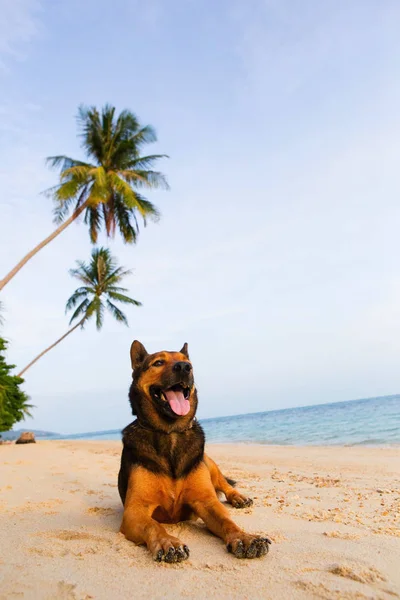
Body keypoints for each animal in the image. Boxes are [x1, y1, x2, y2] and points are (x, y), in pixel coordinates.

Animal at [117, 342, 270, 564]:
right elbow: (153, 525)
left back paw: (239, 498)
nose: (184, 368)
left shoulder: (206, 502)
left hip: (209, 462)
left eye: (188, 363)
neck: (171, 432)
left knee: (225, 485)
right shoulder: (134, 511)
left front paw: (245, 538)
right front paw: (168, 542)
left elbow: (227, 521)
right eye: (158, 363)